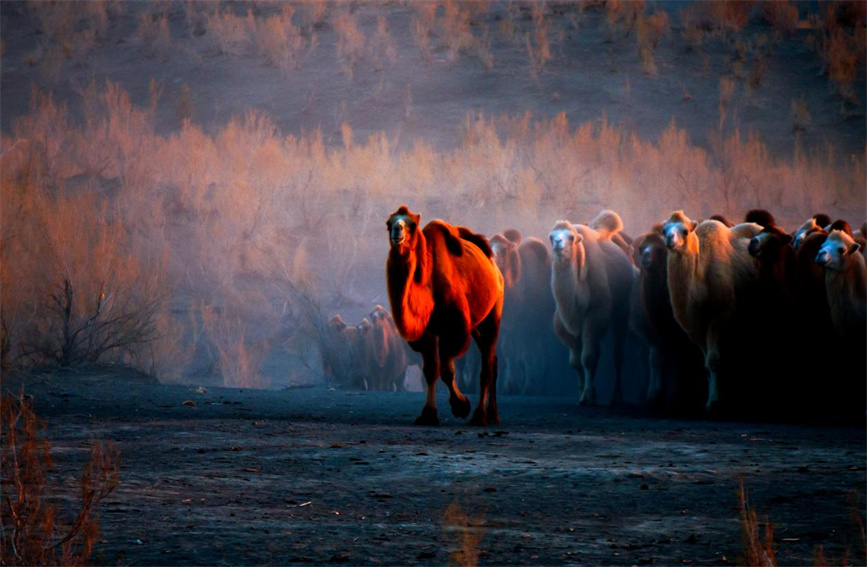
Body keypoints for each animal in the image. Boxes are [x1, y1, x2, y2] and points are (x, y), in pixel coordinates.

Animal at [386, 205, 504, 426]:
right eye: (389, 223)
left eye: (412, 224)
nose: (397, 230)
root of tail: (496, 270)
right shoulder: (427, 331)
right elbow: (431, 369)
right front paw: (428, 414)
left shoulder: (454, 326)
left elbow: (447, 370)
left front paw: (461, 406)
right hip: (476, 327)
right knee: (493, 360)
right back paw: (493, 414)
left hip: (493, 314)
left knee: (487, 366)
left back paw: (480, 415)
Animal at [549, 215, 635, 405]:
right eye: (551, 236)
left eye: (571, 237)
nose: (558, 242)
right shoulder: (567, 321)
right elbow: (575, 361)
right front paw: (583, 391)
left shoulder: (595, 313)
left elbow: (587, 358)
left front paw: (587, 395)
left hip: (622, 311)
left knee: (618, 354)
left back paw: (617, 395)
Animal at [662, 211, 761, 411]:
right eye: (663, 230)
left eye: (685, 231)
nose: (669, 239)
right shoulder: (695, 324)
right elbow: (706, 361)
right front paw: (710, 398)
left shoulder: (723, 311)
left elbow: (714, 359)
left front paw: (715, 401)